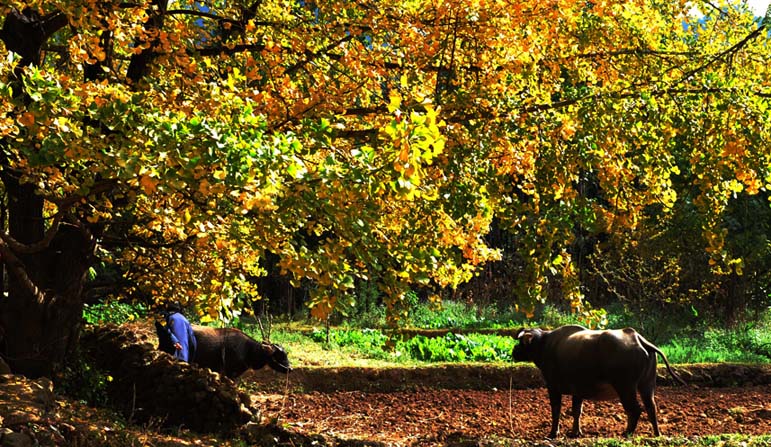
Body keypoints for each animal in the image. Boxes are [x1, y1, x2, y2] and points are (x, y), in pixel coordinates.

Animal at [512, 324, 688, 440]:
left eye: (521, 342)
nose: (514, 351)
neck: (546, 345)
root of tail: (637, 338)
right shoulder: (578, 391)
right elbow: (577, 411)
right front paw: (575, 433)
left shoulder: (553, 387)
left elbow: (556, 411)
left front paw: (553, 433)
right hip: (647, 385)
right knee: (651, 408)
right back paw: (656, 434)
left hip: (625, 387)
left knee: (635, 410)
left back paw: (627, 433)